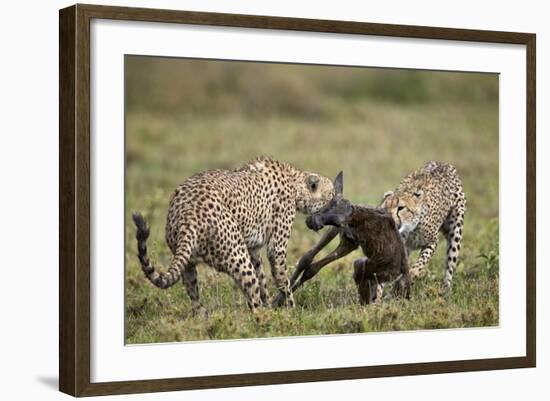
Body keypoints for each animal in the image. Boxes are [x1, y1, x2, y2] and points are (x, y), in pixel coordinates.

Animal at [133, 156, 336, 312]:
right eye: (332, 194)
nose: (336, 200)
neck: (295, 182)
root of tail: (188, 213)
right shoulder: (275, 248)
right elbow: (281, 278)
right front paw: (290, 310)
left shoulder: (252, 248)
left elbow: (262, 277)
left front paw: (271, 304)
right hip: (237, 256)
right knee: (253, 300)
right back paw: (263, 319)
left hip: (188, 261)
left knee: (194, 296)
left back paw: (203, 318)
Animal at [284, 172, 410, 304]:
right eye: (330, 203)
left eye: (340, 220)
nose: (312, 221)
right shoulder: (344, 237)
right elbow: (306, 260)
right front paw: (282, 296)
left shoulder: (350, 241)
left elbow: (311, 268)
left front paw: (283, 297)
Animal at [382, 160, 468, 294]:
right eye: (385, 209)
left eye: (401, 208)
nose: (390, 221)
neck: (410, 228)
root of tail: (441, 163)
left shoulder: (432, 242)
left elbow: (420, 264)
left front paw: (409, 277)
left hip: (456, 230)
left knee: (450, 262)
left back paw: (445, 289)